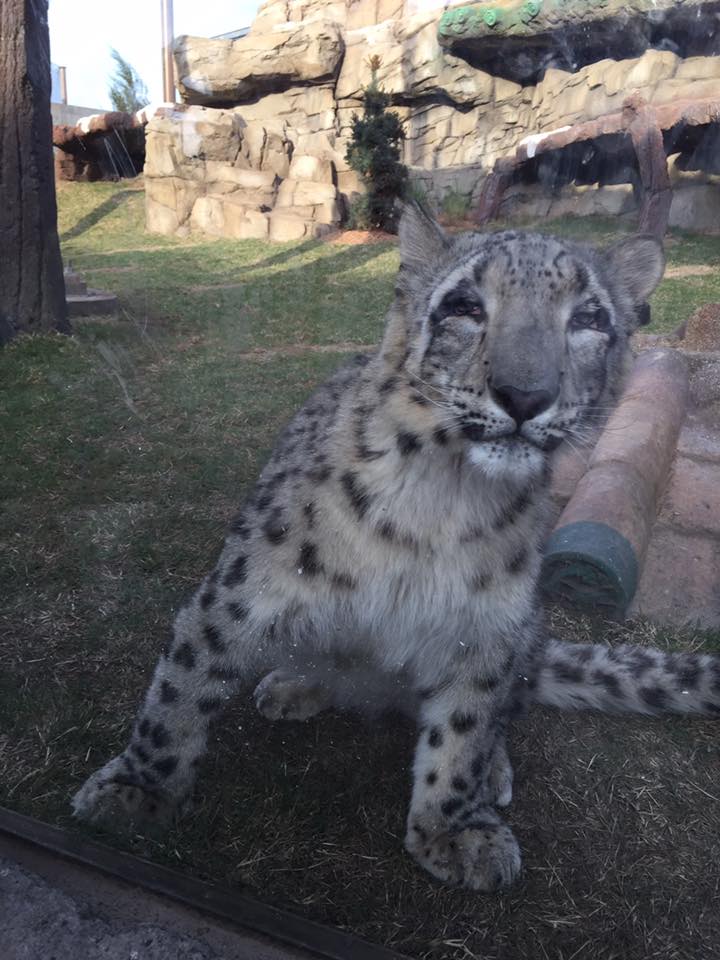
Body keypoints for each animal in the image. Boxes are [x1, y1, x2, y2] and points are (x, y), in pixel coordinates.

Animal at [72, 204, 720, 892]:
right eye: (464, 305)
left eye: (590, 319)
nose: (524, 394)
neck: (440, 501)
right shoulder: (241, 591)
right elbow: (180, 690)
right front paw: (136, 792)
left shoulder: (487, 631)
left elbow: (465, 730)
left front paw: (455, 829)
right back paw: (290, 687)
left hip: (524, 632)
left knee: (503, 712)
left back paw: (492, 770)